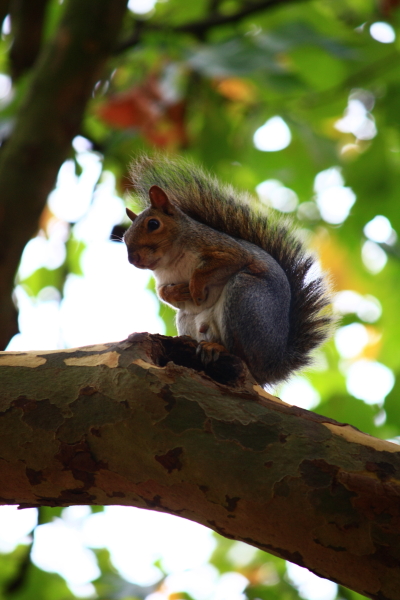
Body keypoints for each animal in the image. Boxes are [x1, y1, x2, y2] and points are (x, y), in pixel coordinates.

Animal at [124, 155, 332, 386]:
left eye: (153, 224)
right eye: (124, 237)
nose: (133, 259)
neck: (172, 259)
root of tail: (271, 366)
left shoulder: (223, 249)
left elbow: (225, 263)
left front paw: (195, 287)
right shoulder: (162, 279)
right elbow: (163, 294)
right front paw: (178, 292)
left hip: (245, 297)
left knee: (242, 356)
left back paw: (218, 348)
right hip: (189, 317)